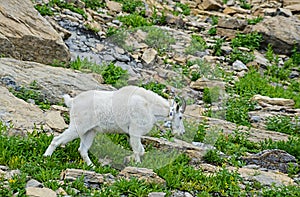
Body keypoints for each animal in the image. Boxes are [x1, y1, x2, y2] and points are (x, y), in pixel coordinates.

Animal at [43, 85, 185, 165]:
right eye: (180, 117)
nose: (182, 132)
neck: (150, 106)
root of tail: (72, 102)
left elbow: (139, 149)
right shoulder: (135, 131)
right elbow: (138, 149)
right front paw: (138, 164)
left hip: (90, 131)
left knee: (82, 150)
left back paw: (92, 166)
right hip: (77, 128)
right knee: (56, 140)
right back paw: (46, 158)